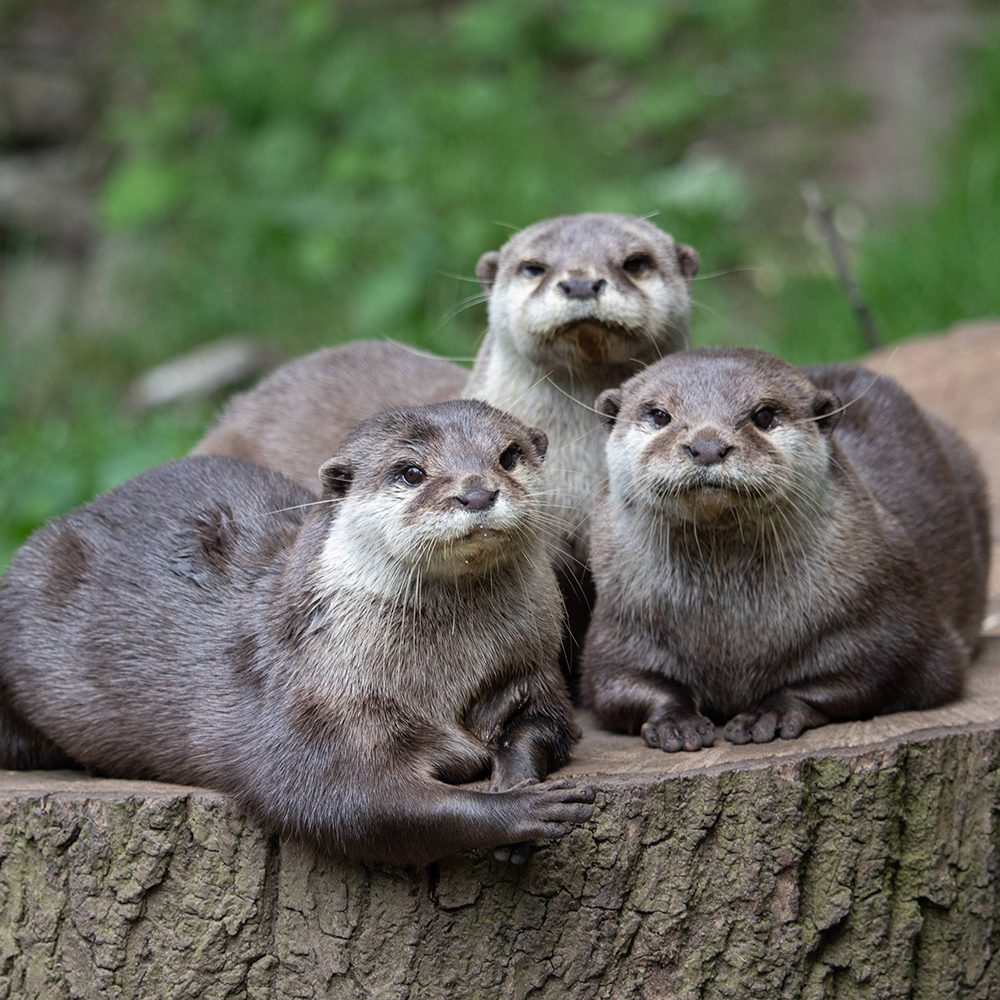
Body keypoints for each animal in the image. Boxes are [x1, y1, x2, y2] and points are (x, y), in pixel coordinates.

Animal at [0, 402, 592, 864]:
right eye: (410, 472)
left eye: (509, 455)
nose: (476, 493)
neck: (443, 675)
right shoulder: (311, 704)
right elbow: (344, 802)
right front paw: (520, 810)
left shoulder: (529, 667)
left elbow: (545, 725)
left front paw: (517, 777)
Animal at [584, 348, 988, 748]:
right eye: (659, 415)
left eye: (763, 415)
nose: (708, 447)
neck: (728, 633)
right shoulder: (620, 628)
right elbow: (616, 686)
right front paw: (676, 721)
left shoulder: (902, 631)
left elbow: (873, 676)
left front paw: (769, 714)